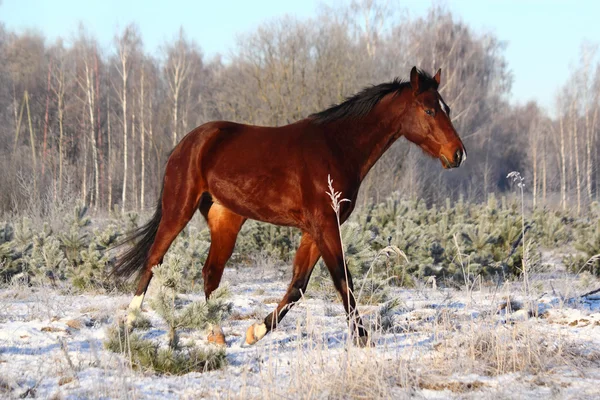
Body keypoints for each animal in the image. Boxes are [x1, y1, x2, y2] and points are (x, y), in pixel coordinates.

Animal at [113, 66, 468, 346]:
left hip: (226, 219)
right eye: (429, 111)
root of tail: (188, 142)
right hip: (179, 208)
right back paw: (127, 327)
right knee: (152, 261)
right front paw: (362, 338)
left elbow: (298, 286)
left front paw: (255, 332)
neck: (337, 147)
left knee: (210, 273)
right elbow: (342, 280)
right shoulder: (325, 225)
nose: (458, 154)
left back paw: (217, 336)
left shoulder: (315, 230)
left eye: (448, 108)